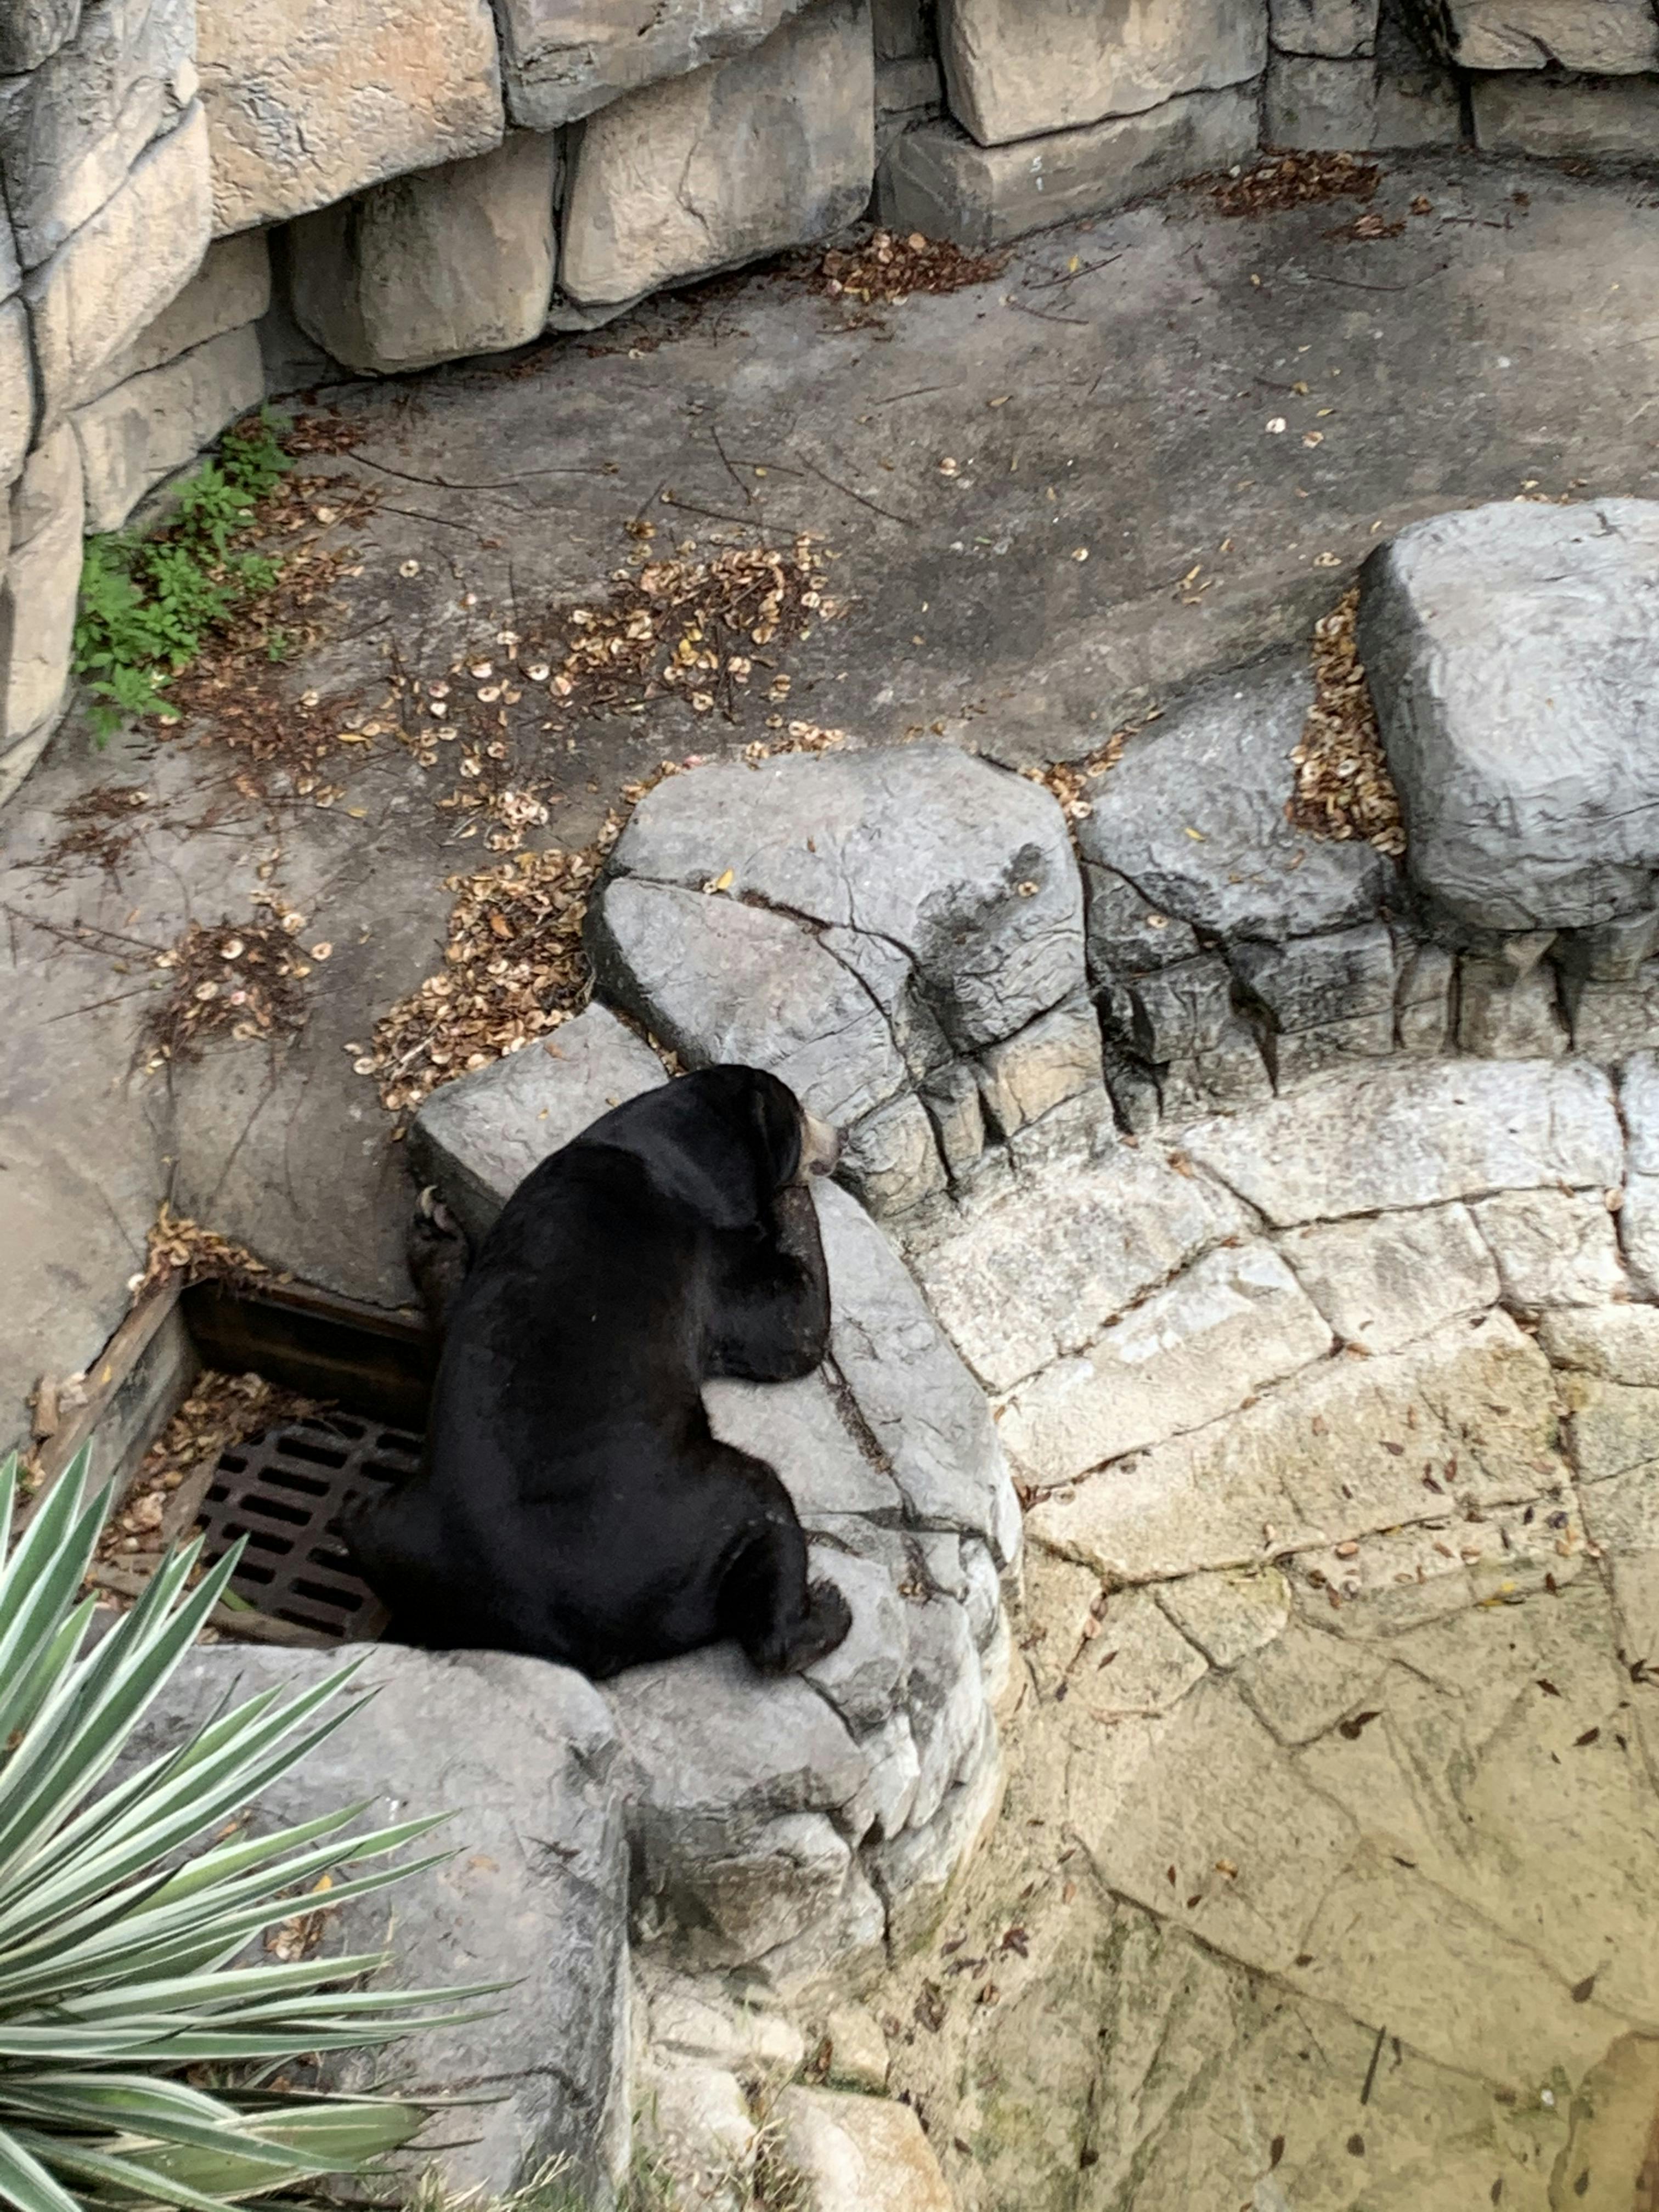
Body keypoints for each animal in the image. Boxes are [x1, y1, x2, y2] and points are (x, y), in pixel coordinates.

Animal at [343, 1065, 854, 1681]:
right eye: (801, 1114)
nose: (841, 1138)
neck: (666, 1147)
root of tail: (580, 1639)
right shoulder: (709, 1258)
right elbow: (794, 1328)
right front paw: (794, 1195)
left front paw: (436, 1225)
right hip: (700, 1510)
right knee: (766, 1514)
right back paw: (826, 1610)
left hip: (393, 1533)